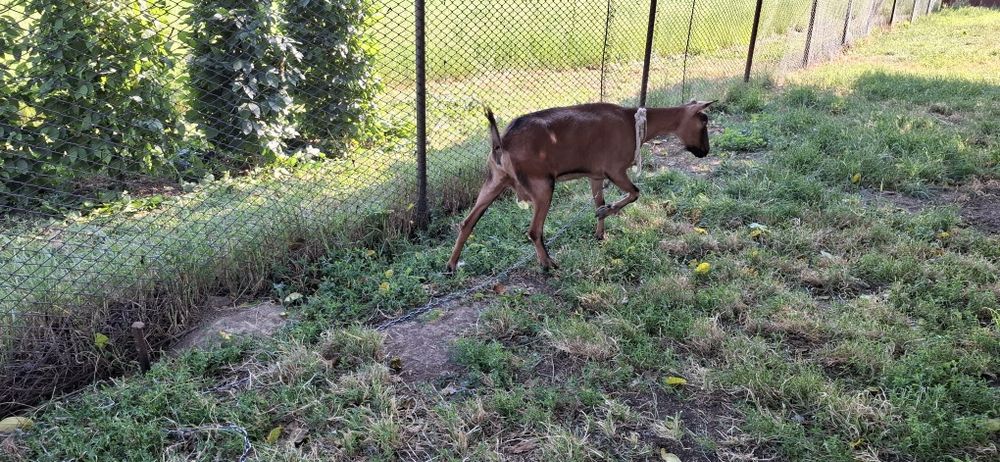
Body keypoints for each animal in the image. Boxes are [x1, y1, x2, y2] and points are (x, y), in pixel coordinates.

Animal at [445, 100, 715, 274]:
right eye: (703, 121)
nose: (705, 151)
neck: (633, 123)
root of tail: (502, 143)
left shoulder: (595, 175)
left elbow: (599, 200)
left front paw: (600, 232)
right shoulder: (615, 170)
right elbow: (635, 192)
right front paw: (606, 211)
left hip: (493, 181)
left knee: (467, 222)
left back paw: (451, 266)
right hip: (542, 185)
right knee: (534, 231)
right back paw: (548, 264)